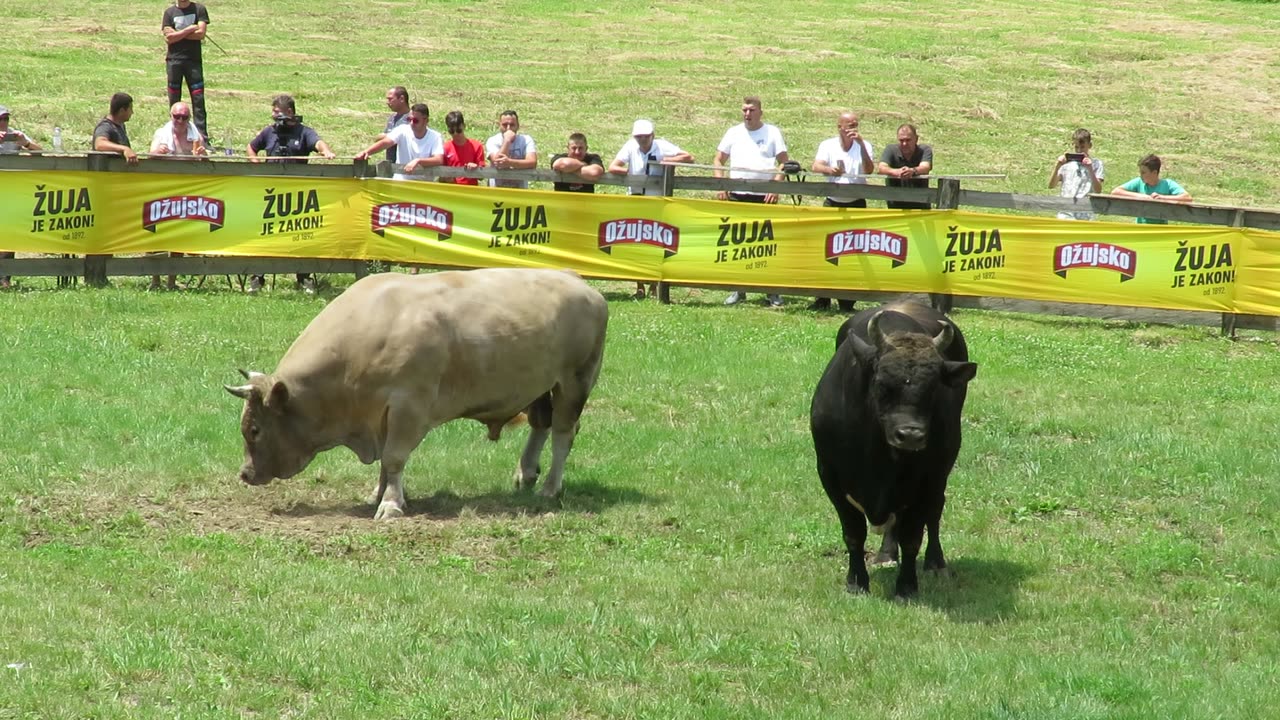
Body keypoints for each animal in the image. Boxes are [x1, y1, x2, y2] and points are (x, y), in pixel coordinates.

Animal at [225, 265, 609, 515]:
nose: (245, 474)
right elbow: (385, 461)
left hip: (574, 383)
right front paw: (379, 493)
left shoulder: (408, 407)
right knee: (541, 425)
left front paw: (391, 504)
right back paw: (525, 473)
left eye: (255, 429)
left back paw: (550, 488)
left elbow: (394, 457)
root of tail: (579, 282)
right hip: (540, 387)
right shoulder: (380, 416)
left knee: (562, 434)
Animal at [808, 299, 977, 597]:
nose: (910, 435)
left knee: (934, 513)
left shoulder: (927, 482)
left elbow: (912, 537)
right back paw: (886, 553)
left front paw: (907, 586)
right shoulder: (831, 477)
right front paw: (856, 581)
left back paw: (935, 562)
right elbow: (853, 533)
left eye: (934, 387)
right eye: (881, 383)